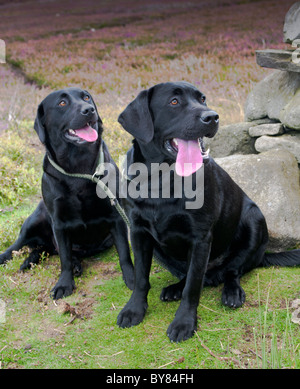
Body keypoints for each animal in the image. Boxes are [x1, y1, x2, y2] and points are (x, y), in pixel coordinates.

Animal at [0, 87, 134, 298]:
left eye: (86, 97)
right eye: (62, 103)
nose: (89, 110)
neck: (78, 166)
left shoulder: (115, 215)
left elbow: (124, 252)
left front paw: (132, 278)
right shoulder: (59, 224)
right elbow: (64, 258)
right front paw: (64, 284)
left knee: (49, 250)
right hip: (33, 222)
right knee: (21, 245)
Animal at [116, 81, 300, 340]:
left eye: (202, 99)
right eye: (174, 101)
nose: (212, 117)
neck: (162, 180)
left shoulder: (201, 237)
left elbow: (193, 287)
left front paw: (184, 322)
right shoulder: (138, 232)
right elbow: (142, 277)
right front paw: (134, 310)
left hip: (254, 219)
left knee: (231, 271)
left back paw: (232, 292)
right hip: (161, 250)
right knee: (192, 275)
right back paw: (175, 288)